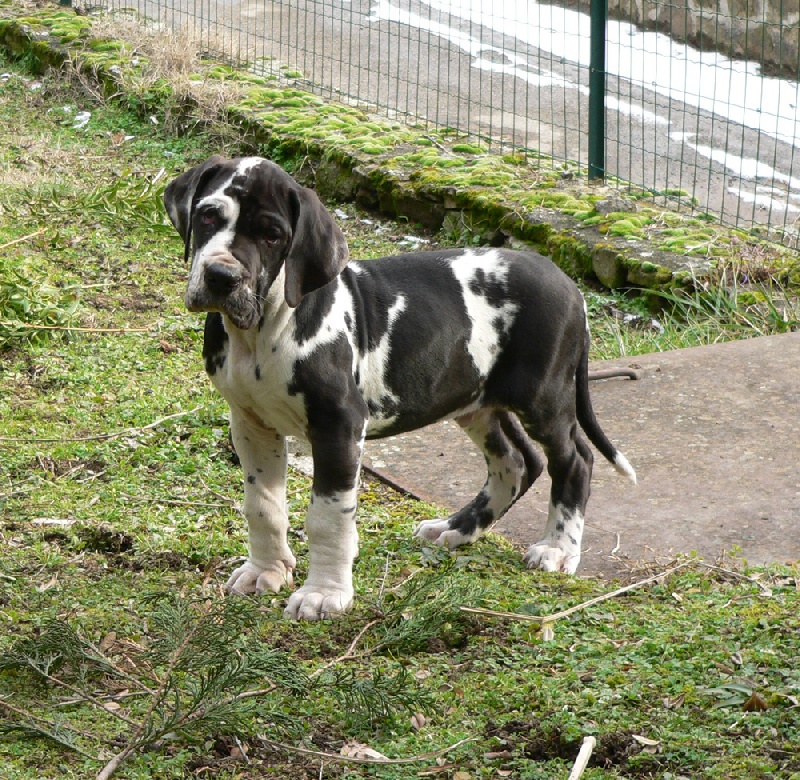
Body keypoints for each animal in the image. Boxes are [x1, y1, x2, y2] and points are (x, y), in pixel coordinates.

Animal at [164, 157, 636, 620]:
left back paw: (557, 549)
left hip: (543, 398)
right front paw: (266, 570)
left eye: (272, 235)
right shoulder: (251, 421)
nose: (221, 276)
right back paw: (455, 529)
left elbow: (327, 517)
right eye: (208, 215)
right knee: (518, 463)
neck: (264, 330)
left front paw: (324, 595)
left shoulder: (339, 427)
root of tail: (568, 284)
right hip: (477, 401)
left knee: (574, 460)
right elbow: (262, 506)